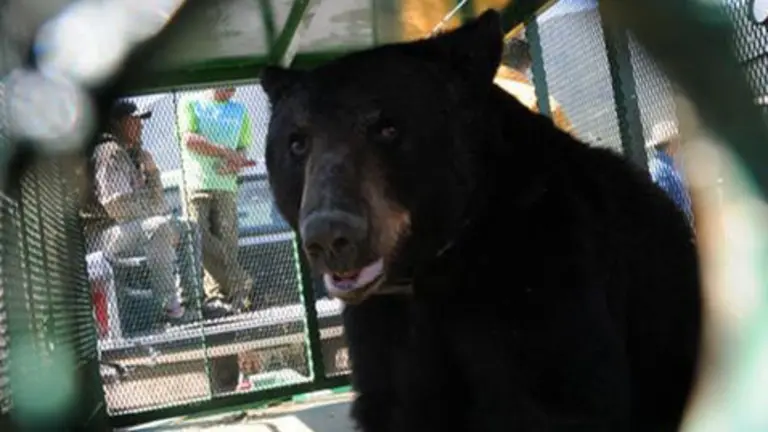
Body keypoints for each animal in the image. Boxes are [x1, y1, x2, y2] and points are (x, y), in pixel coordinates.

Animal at [260, 9, 702, 432]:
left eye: (387, 128)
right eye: (296, 143)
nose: (330, 235)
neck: (431, 268)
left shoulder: (544, 268)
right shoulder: (383, 330)